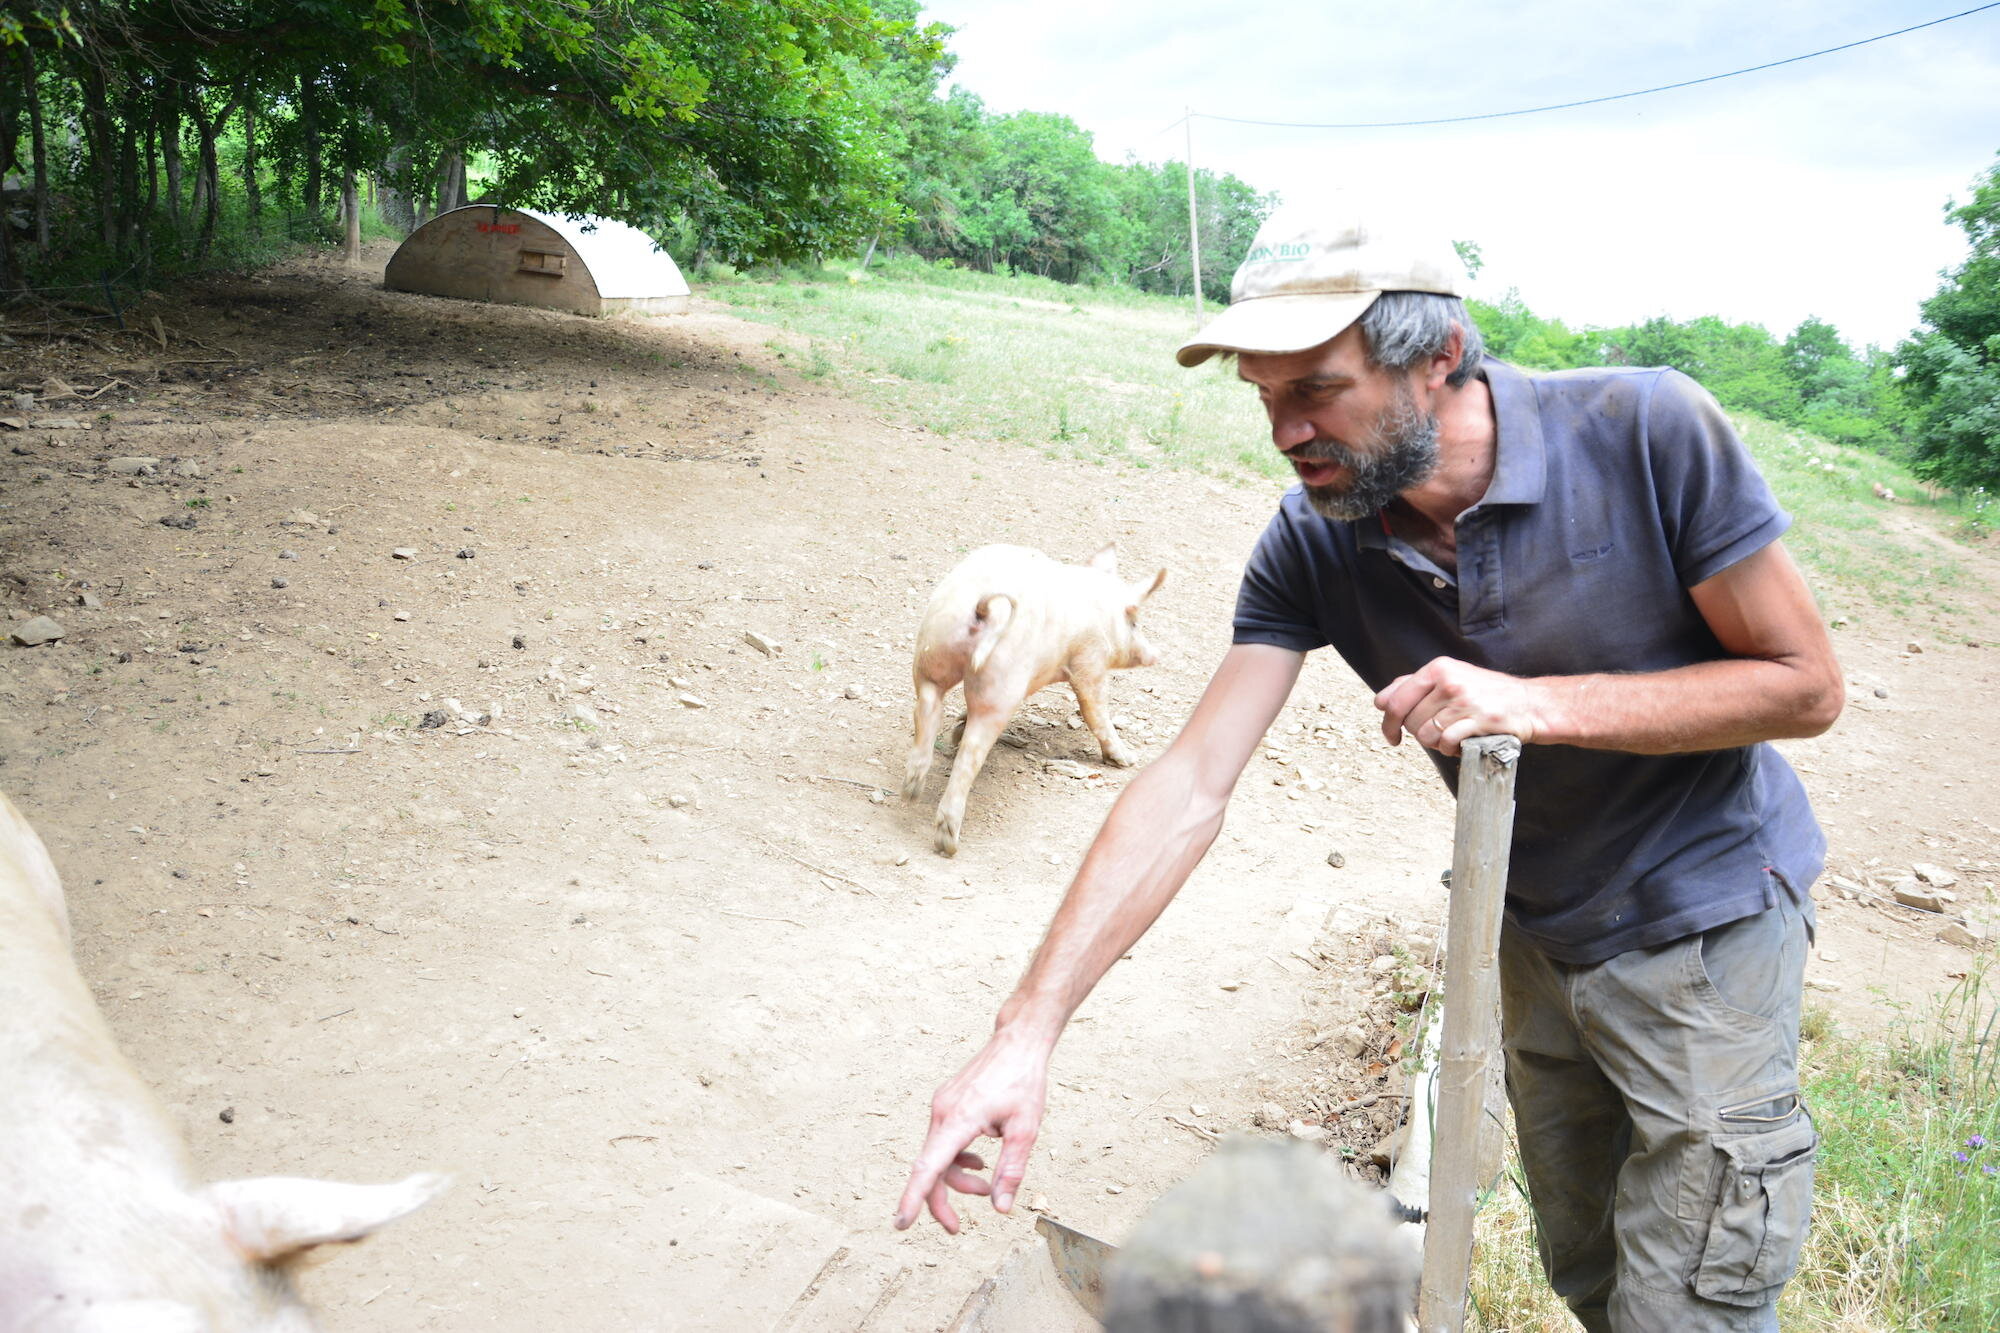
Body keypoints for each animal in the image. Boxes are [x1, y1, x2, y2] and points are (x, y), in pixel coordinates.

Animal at [904, 544, 1168, 856]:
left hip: (933, 649)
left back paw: (911, 790)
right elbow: (1095, 710)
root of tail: (986, 611)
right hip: (1000, 680)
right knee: (971, 752)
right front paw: (1127, 760)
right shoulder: (1089, 660)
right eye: (1135, 622)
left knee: (927, 707)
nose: (1156, 654)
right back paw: (948, 842)